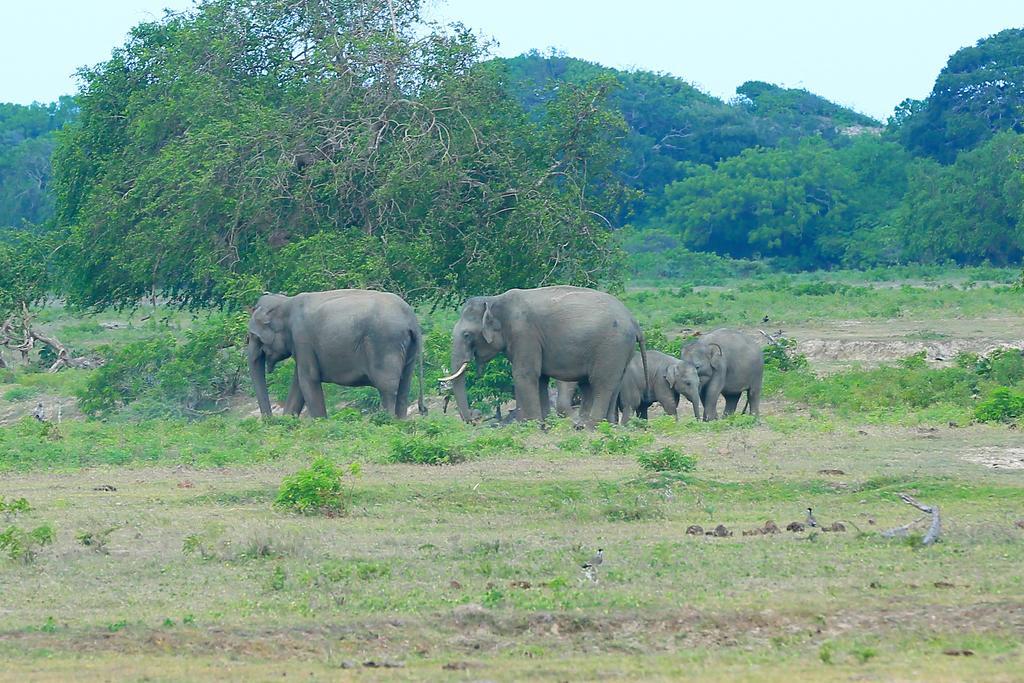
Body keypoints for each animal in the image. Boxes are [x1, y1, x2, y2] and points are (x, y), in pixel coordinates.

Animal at [247, 286, 423, 417]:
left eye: (254, 337)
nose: (270, 420)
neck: (286, 302)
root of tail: (412, 321)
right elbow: (298, 382)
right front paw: (287, 421)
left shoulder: (302, 338)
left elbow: (308, 379)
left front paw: (319, 423)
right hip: (408, 351)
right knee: (404, 387)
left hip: (385, 344)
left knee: (387, 388)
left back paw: (387, 420)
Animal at [440, 284, 647, 423]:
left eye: (467, 335)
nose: (474, 417)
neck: (494, 299)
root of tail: (634, 321)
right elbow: (540, 378)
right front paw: (544, 426)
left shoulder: (524, 333)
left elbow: (524, 374)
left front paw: (532, 427)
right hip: (622, 350)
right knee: (614, 383)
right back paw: (605, 425)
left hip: (611, 346)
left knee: (602, 383)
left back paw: (590, 427)